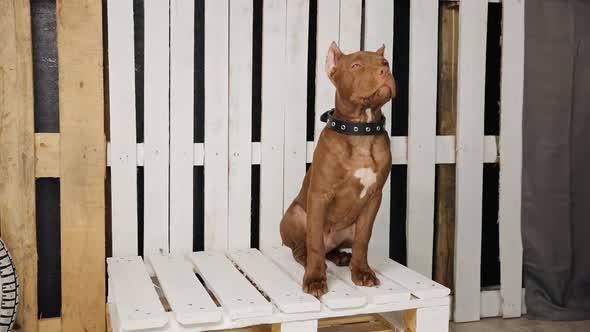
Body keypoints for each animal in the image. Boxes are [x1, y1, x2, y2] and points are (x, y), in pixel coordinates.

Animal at [280, 42, 398, 296]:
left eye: (385, 63)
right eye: (355, 66)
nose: (385, 72)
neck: (361, 129)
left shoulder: (374, 198)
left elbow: (363, 240)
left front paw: (362, 272)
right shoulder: (319, 195)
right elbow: (314, 242)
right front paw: (315, 279)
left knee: (334, 248)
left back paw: (341, 257)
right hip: (295, 215)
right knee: (303, 248)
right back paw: (310, 260)